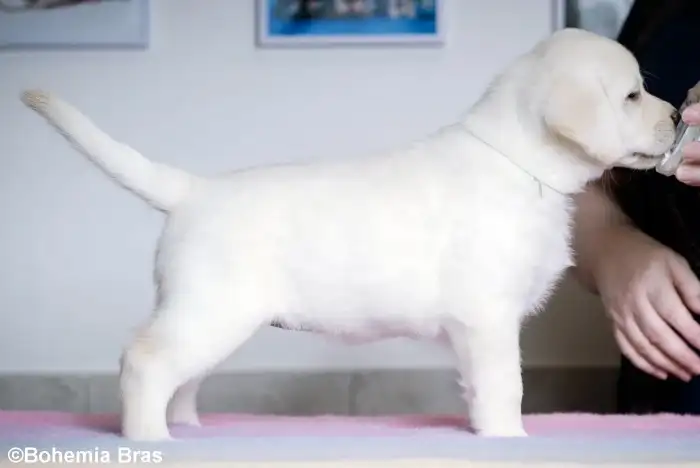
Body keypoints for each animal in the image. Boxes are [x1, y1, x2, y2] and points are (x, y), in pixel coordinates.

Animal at [20, 28, 677, 441]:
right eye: (633, 94)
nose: (677, 116)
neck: (519, 162)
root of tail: (193, 191)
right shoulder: (488, 318)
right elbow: (504, 387)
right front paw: (508, 438)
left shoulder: (478, 327)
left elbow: (479, 388)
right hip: (208, 310)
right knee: (145, 360)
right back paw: (149, 438)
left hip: (209, 317)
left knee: (181, 375)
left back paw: (183, 425)